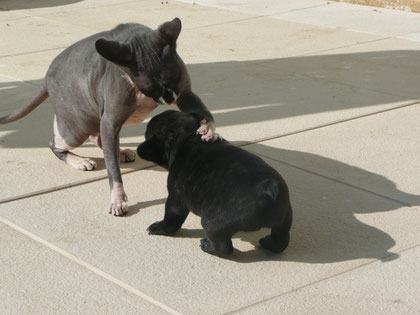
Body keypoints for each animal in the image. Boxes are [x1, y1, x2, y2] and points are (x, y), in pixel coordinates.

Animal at [0, 18, 215, 217]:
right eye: (149, 89)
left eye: (175, 78)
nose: (169, 98)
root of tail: (46, 75)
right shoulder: (110, 120)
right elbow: (113, 171)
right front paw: (117, 198)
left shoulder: (185, 94)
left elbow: (203, 112)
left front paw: (209, 129)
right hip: (78, 126)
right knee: (57, 143)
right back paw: (80, 160)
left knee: (99, 138)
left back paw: (120, 152)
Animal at [138, 111, 292, 256]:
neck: (187, 137)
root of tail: (268, 189)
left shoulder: (175, 199)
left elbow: (171, 217)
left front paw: (158, 228)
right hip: (284, 218)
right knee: (281, 239)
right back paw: (268, 243)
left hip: (212, 223)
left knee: (223, 247)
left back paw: (207, 245)